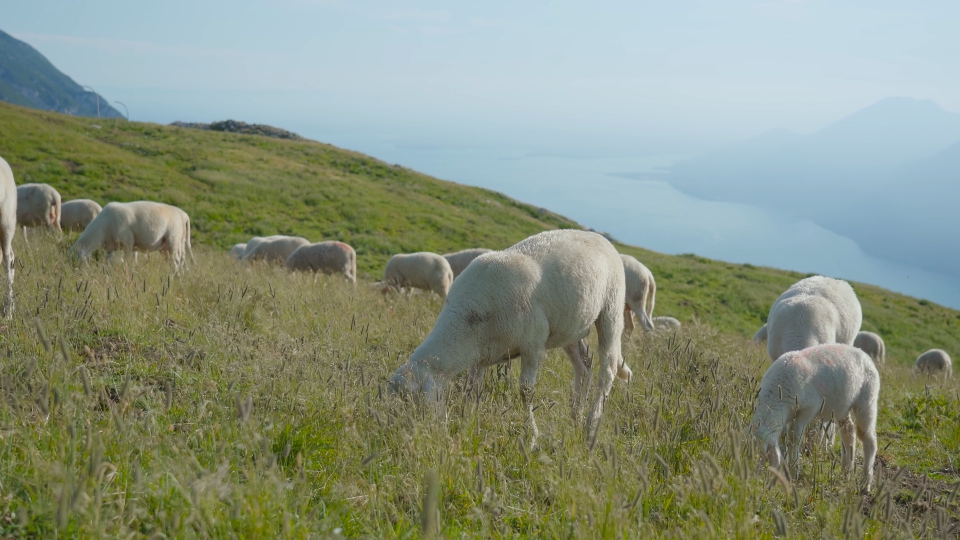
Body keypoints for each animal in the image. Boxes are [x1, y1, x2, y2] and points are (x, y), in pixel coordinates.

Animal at [389, 229, 629, 445]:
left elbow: (525, 390)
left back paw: (591, 426)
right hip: (569, 326)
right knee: (584, 365)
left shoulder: (533, 344)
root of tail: (598, 236)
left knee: (607, 368)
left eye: (413, 402)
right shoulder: (480, 354)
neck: (467, 320)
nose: (407, 438)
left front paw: (531, 435)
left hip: (611, 307)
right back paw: (575, 416)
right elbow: (472, 388)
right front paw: (469, 421)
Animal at [752, 344, 879, 492]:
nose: (750, 480)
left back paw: (866, 483)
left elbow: (794, 437)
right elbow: (785, 438)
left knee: (869, 439)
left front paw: (794, 472)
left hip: (867, 400)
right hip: (842, 407)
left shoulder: (808, 408)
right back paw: (845, 473)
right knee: (848, 432)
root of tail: (864, 354)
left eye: (762, 455)